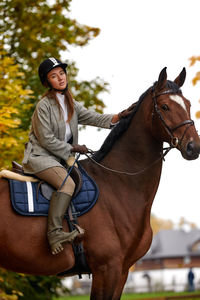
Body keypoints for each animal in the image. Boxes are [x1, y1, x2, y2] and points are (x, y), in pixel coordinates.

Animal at [0, 68, 200, 300]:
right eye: (165, 106)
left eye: (188, 104)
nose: (193, 147)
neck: (117, 184)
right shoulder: (106, 269)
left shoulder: (121, 271)